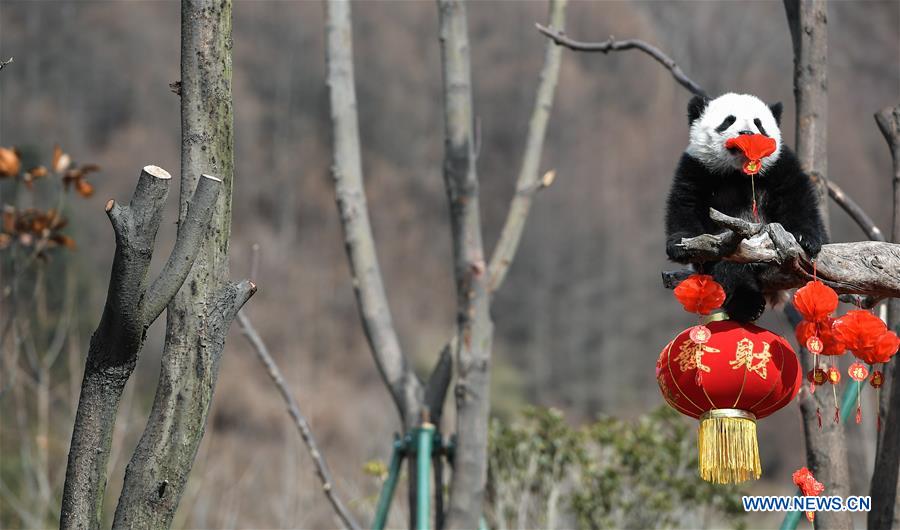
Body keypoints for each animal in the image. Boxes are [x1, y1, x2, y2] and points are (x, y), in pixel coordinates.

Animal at [665, 93, 827, 322]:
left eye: (759, 124)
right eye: (728, 120)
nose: (748, 133)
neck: (738, 172)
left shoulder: (779, 165)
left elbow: (796, 197)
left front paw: (806, 239)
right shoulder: (696, 168)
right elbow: (685, 205)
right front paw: (680, 245)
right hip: (729, 249)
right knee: (729, 270)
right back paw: (748, 305)